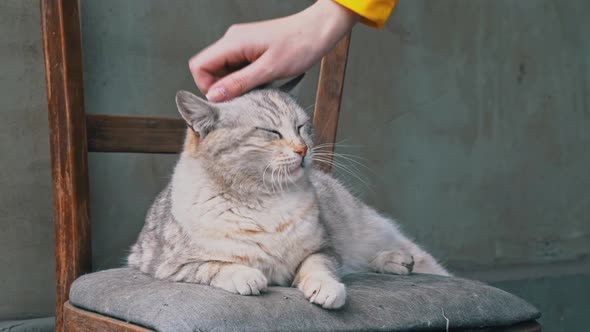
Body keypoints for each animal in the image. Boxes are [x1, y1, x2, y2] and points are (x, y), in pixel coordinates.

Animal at [130, 79, 450, 310]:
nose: (303, 149)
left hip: (370, 231)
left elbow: (319, 267)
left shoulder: (323, 249)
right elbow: (215, 266)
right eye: (271, 132)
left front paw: (327, 289)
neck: (262, 199)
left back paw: (398, 260)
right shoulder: (164, 265)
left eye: (300, 127)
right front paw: (247, 276)